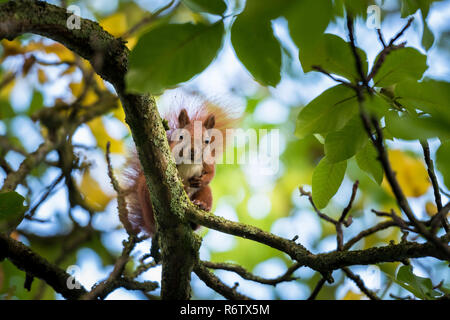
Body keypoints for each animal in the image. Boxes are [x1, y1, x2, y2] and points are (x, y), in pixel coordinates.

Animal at [121, 99, 237, 236]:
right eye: (181, 137)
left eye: (207, 141)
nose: (192, 151)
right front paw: (182, 184)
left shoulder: (208, 161)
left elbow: (211, 173)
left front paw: (202, 180)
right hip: (146, 190)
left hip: (206, 193)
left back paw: (202, 205)